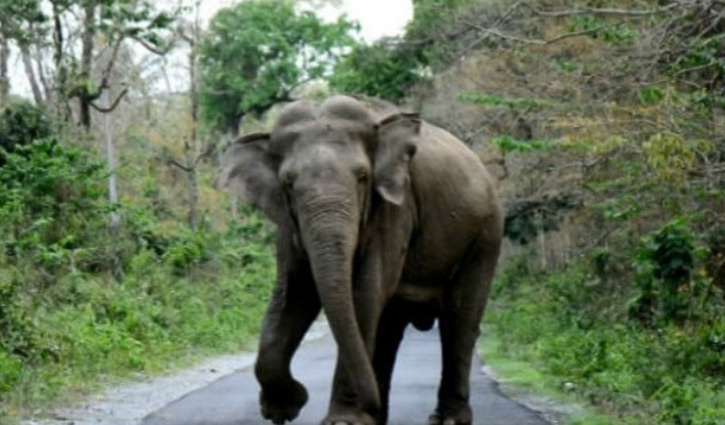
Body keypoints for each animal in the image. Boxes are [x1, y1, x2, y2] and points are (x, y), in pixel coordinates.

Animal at [216, 95, 502, 425]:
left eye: (363, 177)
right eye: (287, 183)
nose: (370, 404)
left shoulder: (395, 209)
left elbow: (364, 294)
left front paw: (343, 421)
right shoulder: (289, 223)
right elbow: (293, 295)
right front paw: (283, 410)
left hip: (485, 235)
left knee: (460, 319)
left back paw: (448, 419)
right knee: (390, 328)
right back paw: (379, 415)